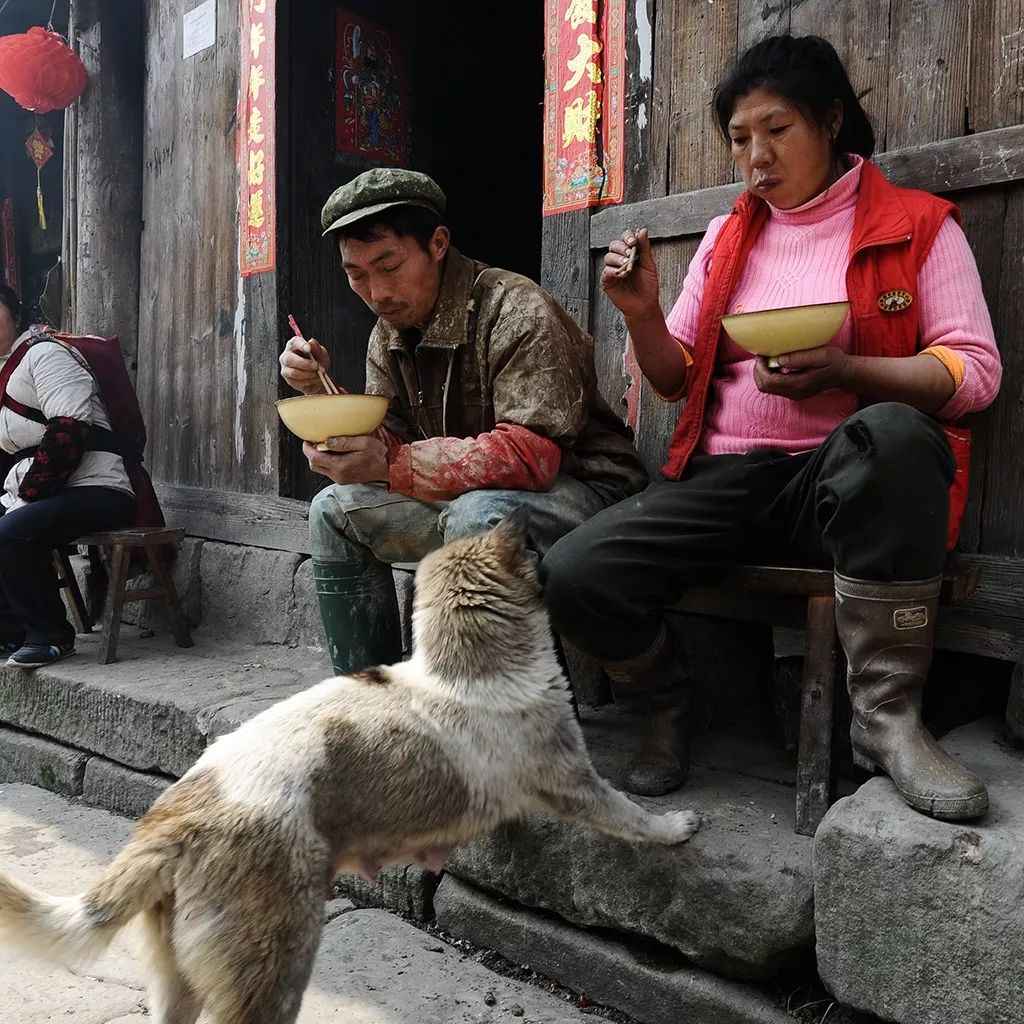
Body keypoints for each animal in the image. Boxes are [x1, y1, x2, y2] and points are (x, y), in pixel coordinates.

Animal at [0, 512, 700, 1024]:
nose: (532, 526)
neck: (465, 665)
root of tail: (176, 820)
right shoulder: (574, 779)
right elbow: (630, 815)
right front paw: (675, 827)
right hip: (274, 969)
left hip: (179, 981)